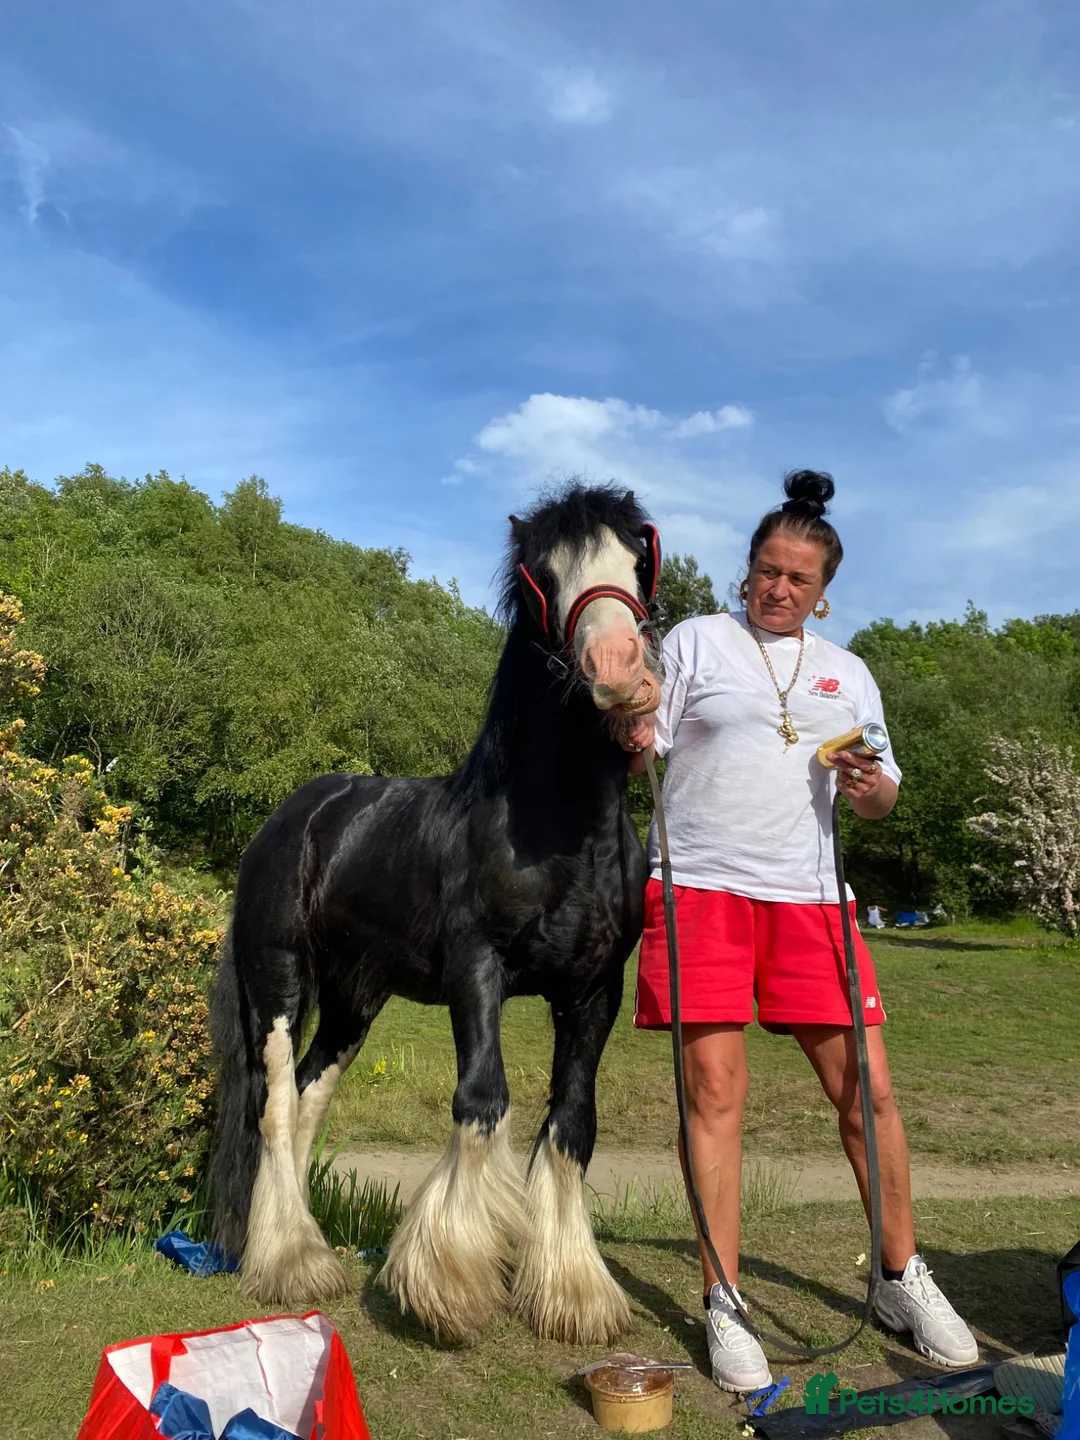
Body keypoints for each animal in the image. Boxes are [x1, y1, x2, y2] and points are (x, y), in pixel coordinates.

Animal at [209, 480, 664, 1345]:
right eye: (542, 574)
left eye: (637, 558)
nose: (621, 672)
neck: (560, 832)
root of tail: (299, 812)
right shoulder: (476, 972)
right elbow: (482, 1100)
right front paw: (446, 1283)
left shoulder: (595, 991)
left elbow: (572, 1123)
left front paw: (574, 1292)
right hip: (279, 980)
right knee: (277, 1107)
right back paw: (291, 1261)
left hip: (355, 1000)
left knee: (311, 1097)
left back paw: (307, 1242)